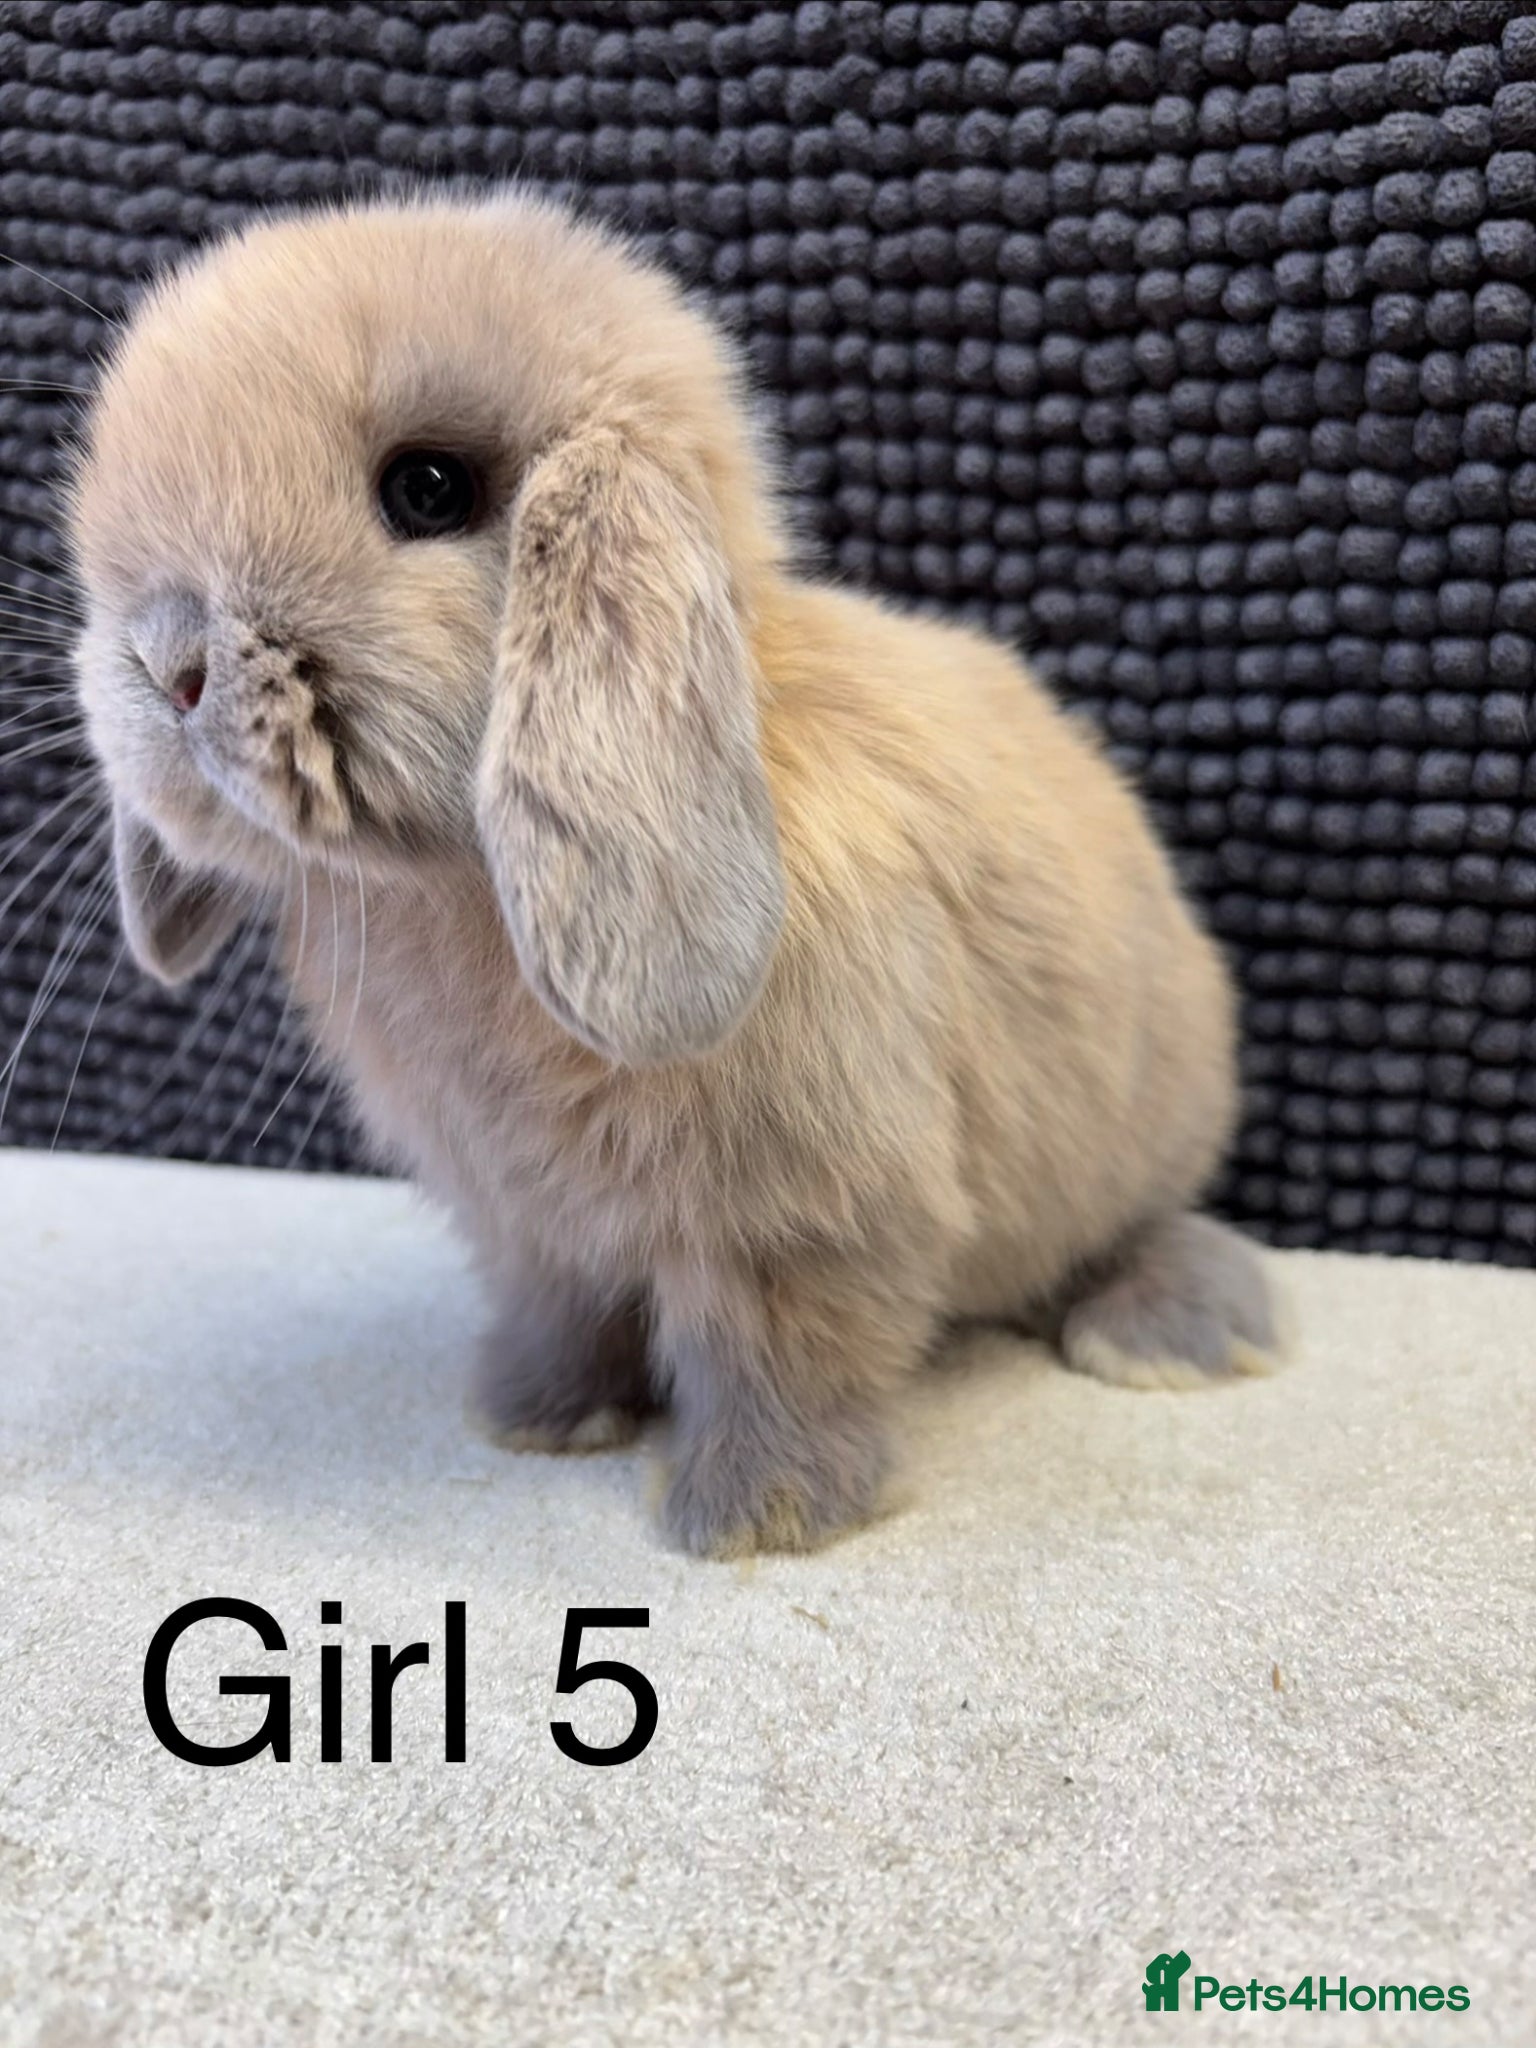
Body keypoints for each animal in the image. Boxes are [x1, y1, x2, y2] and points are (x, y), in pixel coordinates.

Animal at [68, 190, 1286, 1557]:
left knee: (1143, 1227)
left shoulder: (805, 1219)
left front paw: (755, 1514)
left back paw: (1168, 1332)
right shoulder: (533, 1222)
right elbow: (565, 1309)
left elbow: (782, 1357)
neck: (459, 891)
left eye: (428, 488)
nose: (168, 665)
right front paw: (538, 1416)